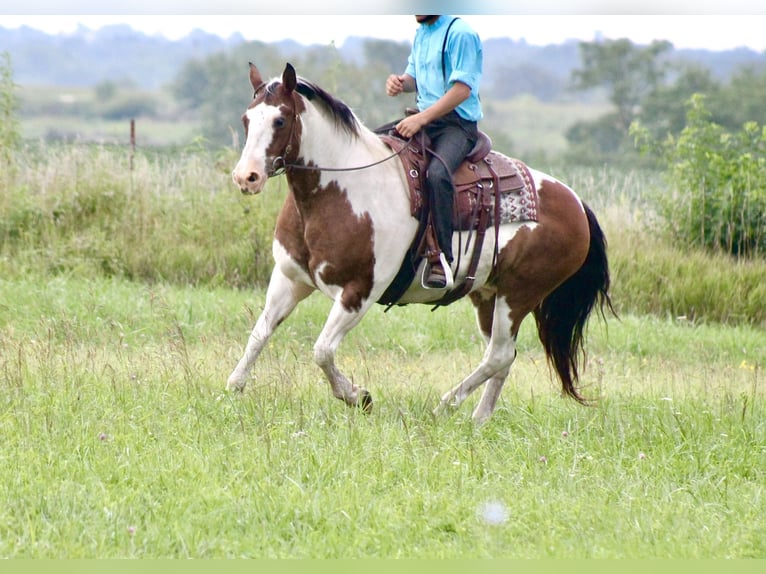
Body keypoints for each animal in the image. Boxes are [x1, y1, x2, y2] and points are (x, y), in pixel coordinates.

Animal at [225, 63, 616, 426]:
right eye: (247, 118)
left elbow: (322, 351)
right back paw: (479, 419)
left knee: (499, 355)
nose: (247, 177)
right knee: (503, 358)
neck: (341, 191)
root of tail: (577, 204)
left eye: (280, 120)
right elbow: (259, 335)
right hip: (488, 294)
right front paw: (233, 389)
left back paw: (446, 406)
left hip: (518, 295)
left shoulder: (358, 292)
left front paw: (359, 397)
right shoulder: (289, 280)